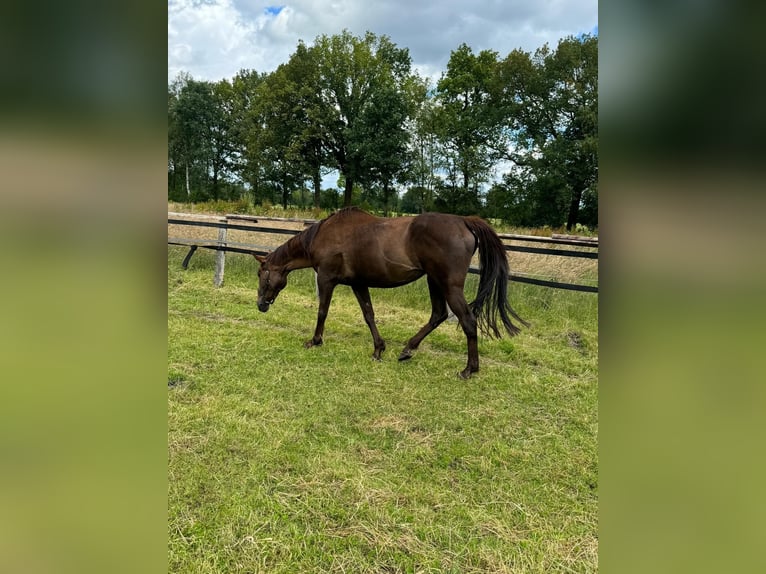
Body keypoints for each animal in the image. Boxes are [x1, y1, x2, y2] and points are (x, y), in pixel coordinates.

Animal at [254, 207, 528, 378]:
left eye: (261, 274)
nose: (260, 305)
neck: (323, 235)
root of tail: (463, 221)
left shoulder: (326, 279)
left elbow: (322, 311)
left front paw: (315, 340)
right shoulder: (358, 283)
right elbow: (369, 315)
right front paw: (378, 349)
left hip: (448, 285)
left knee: (468, 321)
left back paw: (469, 369)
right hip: (434, 281)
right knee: (438, 315)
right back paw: (408, 349)